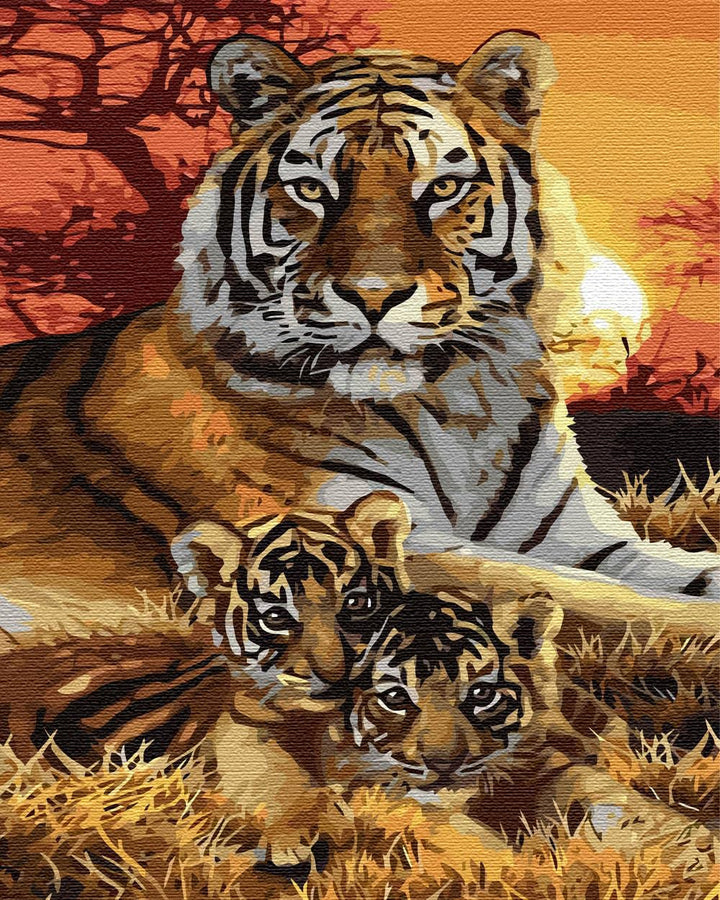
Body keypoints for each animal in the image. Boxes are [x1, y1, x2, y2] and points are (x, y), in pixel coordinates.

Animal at [0, 29, 717, 606]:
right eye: (312, 190)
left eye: (443, 188)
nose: (373, 296)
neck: (460, 406)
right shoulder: (371, 539)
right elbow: (609, 602)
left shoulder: (571, 531)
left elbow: (677, 575)